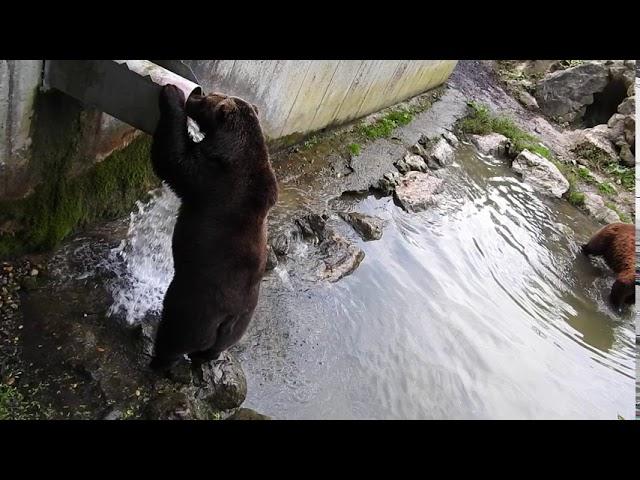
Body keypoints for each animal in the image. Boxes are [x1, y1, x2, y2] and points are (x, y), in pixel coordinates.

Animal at [150, 85, 280, 372]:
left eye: (209, 97)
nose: (196, 92)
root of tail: (227, 319)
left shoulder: (213, 175)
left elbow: (173, 160)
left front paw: (171, 94)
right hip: (240, 325)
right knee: (214, 348)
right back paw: (206, 359)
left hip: (193, 308)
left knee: (174, 335)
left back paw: (160, 361)